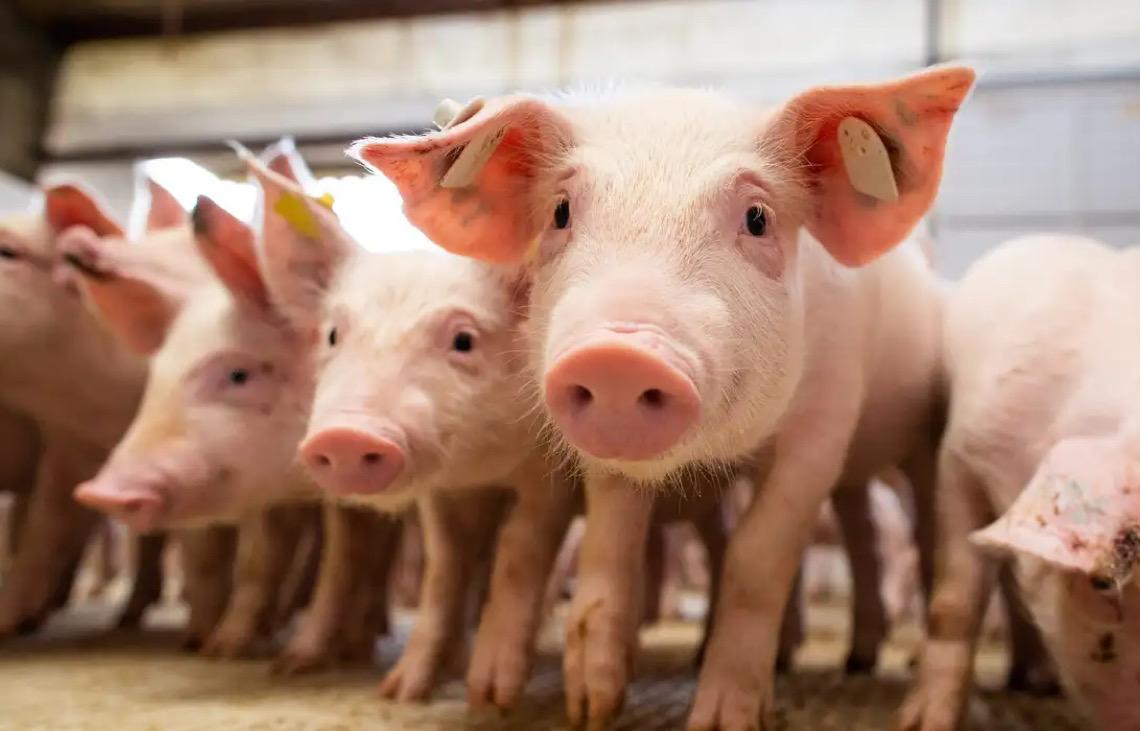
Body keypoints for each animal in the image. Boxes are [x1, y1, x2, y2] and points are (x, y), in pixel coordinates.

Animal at [355, 65, 974, 729]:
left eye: (758, 217)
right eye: (561, 212)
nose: (618, 356)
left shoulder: (825, 422)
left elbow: (758, 557)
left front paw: (724, 719)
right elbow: (610, 547)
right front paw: (590, 707)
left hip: (917, 440)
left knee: (906, 533)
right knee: (859, 531)